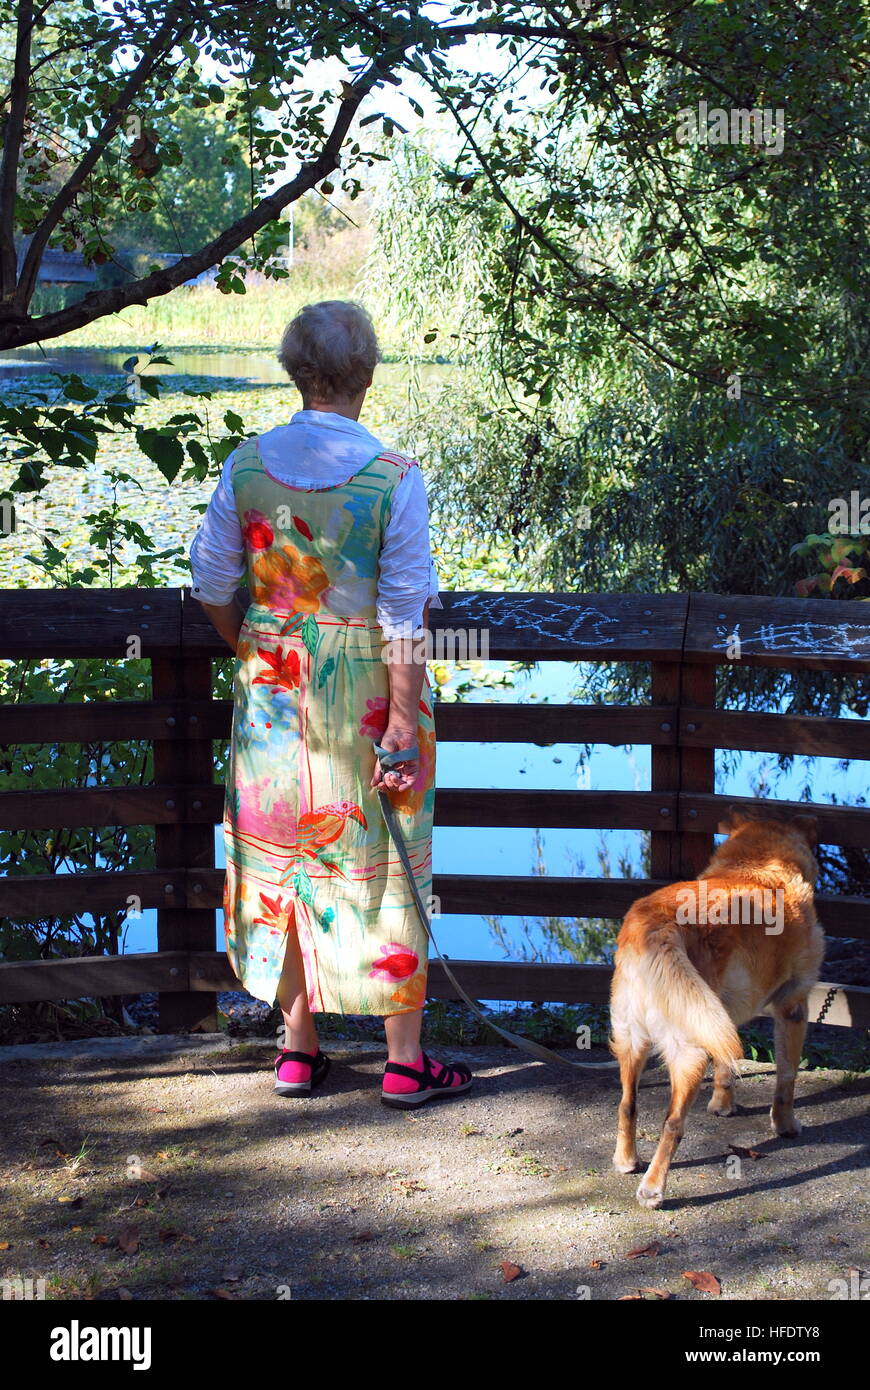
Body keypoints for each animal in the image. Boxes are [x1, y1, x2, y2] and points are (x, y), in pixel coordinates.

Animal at [608, 811, 817, 1212]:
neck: (756, 864)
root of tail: (654, 922)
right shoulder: (793, 1006)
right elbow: (786, 1077)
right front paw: (785, 1125)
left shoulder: (721, 1018)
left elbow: (726, 1067)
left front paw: (722, 1104)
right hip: (687, 1051)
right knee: (672, 1124)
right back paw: (653, 1188)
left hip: (632, 1037)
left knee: (627, 1104)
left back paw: (626, 1161)